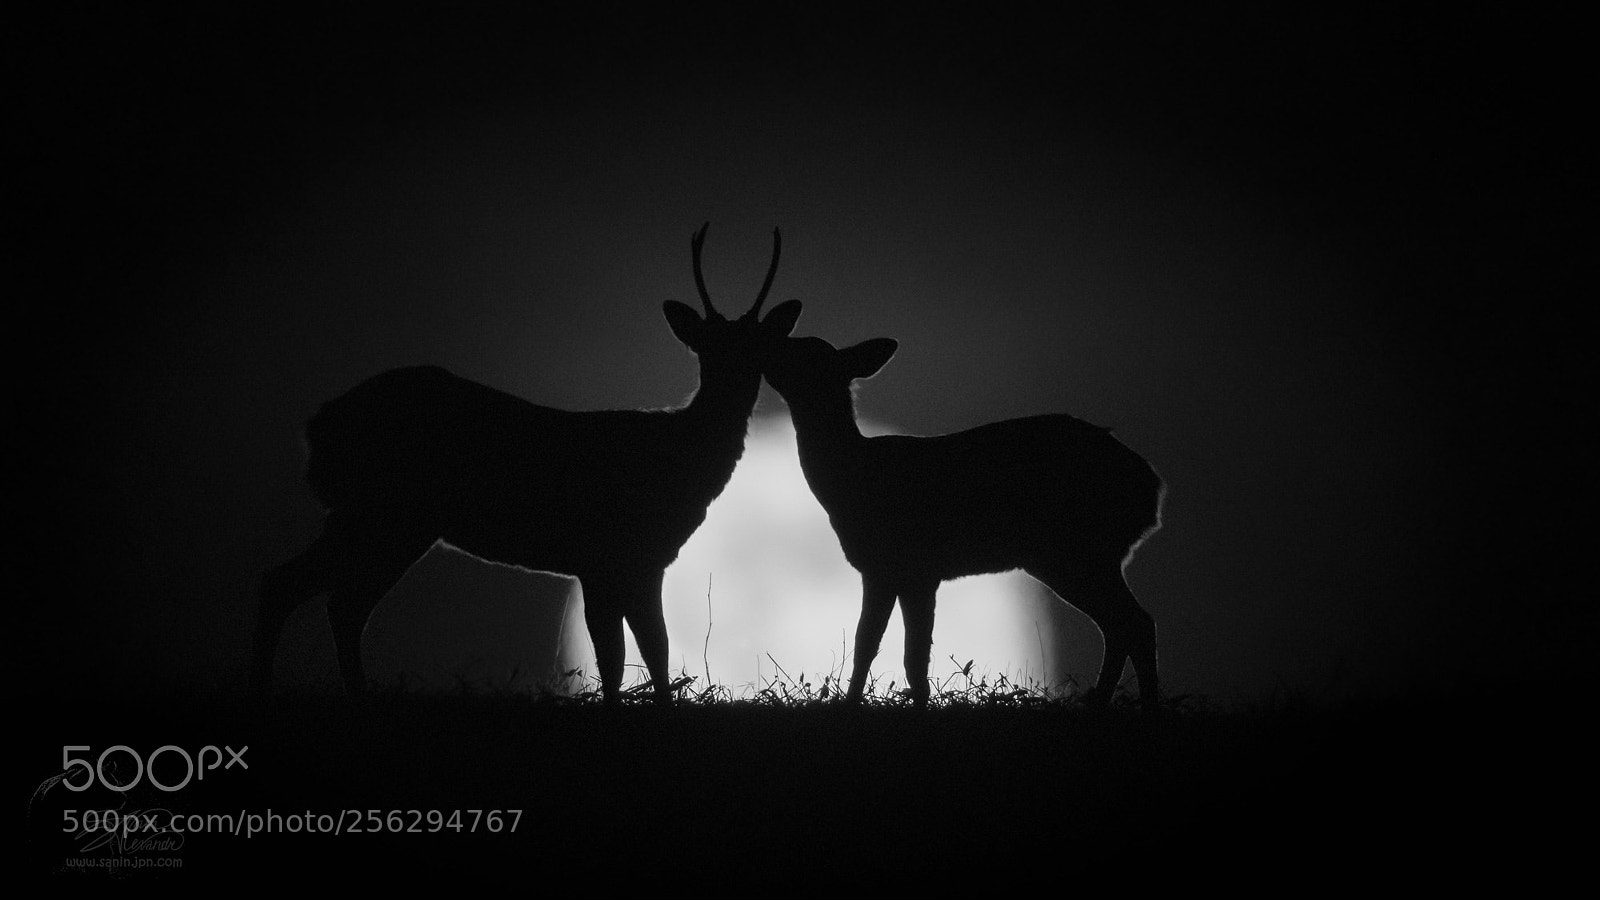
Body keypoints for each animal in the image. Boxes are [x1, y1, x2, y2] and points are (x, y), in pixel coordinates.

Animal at [252, 223, 803, 706]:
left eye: (757, 347)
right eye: (706, 350)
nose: (736, 386)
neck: (679, 457)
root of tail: (317, 426)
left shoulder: (630, 562)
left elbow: (643, 651)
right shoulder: (613, 557)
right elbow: (628, 654)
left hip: (374, 519)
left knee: (319, 596)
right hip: (384, 515)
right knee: (318, 596)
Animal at [763, 335, 1164, 710]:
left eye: (800, 352)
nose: (766, 346)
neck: (849, 479)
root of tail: (1154, 492)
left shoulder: (896, 567)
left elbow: (881, 646)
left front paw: (857, 705)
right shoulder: (907, 573)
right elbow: (899, 651)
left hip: (1075, 553)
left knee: (1135, 622)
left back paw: (1139, 705)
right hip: (1085, 557)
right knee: (1122, 626)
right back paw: (1105, 701)